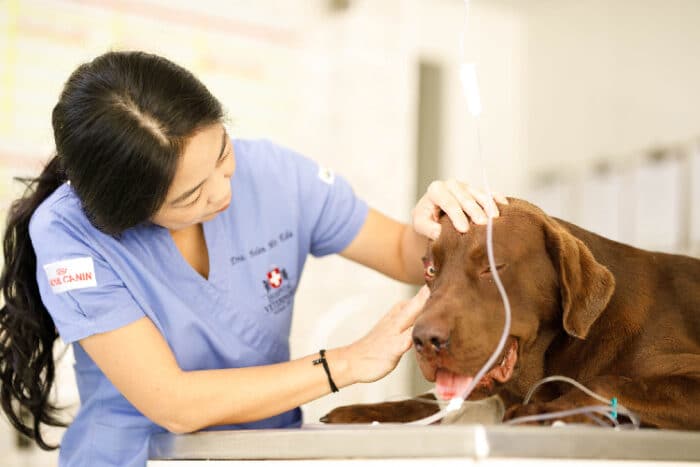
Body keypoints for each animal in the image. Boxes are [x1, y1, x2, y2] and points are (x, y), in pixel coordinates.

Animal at [324, 199, 700, 430]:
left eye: (493, 266)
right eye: (430, 269)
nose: (425, 340)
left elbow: (608, 380)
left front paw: (542, 411)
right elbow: (431, 401)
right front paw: (367, 411)